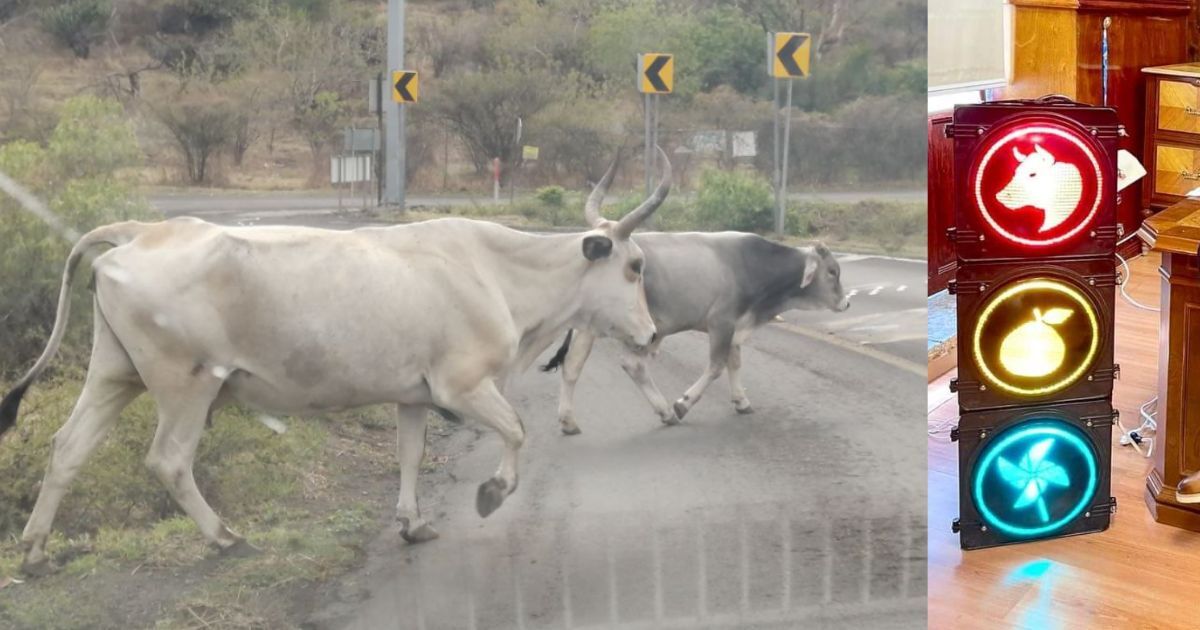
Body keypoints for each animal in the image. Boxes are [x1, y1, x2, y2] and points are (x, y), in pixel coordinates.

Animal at [0, 150, 672, 571]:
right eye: (635, 266)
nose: (649, 332)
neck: (496, 272)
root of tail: (142, 231)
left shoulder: (413, 394)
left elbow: (410, 455)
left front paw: (412, 523)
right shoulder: (462, 387)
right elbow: (515, 430)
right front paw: (492, 492)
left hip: (114, 374)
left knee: (67, 447)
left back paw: (35, 552)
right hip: (186, 385)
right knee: (168, 460)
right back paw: (226, 538)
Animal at [544, 225, 854, 432]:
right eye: (832, 272)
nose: (846, 303)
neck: (753, 265)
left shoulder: (735, 326)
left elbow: (734, 362)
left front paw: (741, 401)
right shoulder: (721, 322)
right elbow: (716, 367)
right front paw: (683, 403)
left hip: (589, 328)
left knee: (572, 366)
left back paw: (568, 420)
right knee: (632, 364)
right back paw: (666, 411)